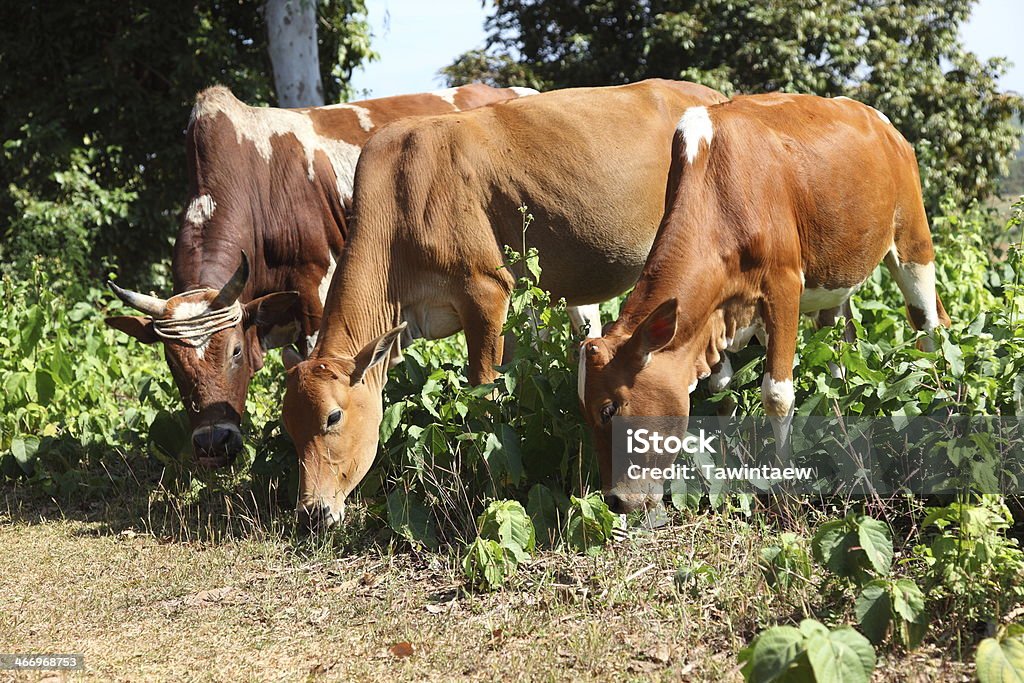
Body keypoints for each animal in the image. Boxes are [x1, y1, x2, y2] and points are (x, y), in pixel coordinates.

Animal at [577, 92, 950, 511]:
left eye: (609, 409)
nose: (615, 500)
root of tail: (879, 121)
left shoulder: (783, 286)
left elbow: (777, 395)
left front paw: (784, 489)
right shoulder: (715, 310)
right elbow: (720, 389)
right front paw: (724, 468)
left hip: (913, 240)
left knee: (930, 324)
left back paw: (943, 404)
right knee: (840, 341)